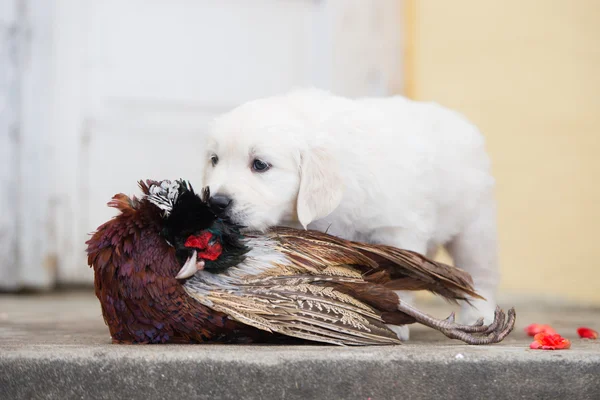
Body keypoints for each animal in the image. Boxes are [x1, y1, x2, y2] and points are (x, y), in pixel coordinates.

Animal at [204, 89, 500, 340]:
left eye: (260, 165)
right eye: (214, 160)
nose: (216, 202)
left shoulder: (396, 230)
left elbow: (400, 276)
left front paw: (394, 323)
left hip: (475, 228)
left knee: (480, 276)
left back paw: (481, 315)